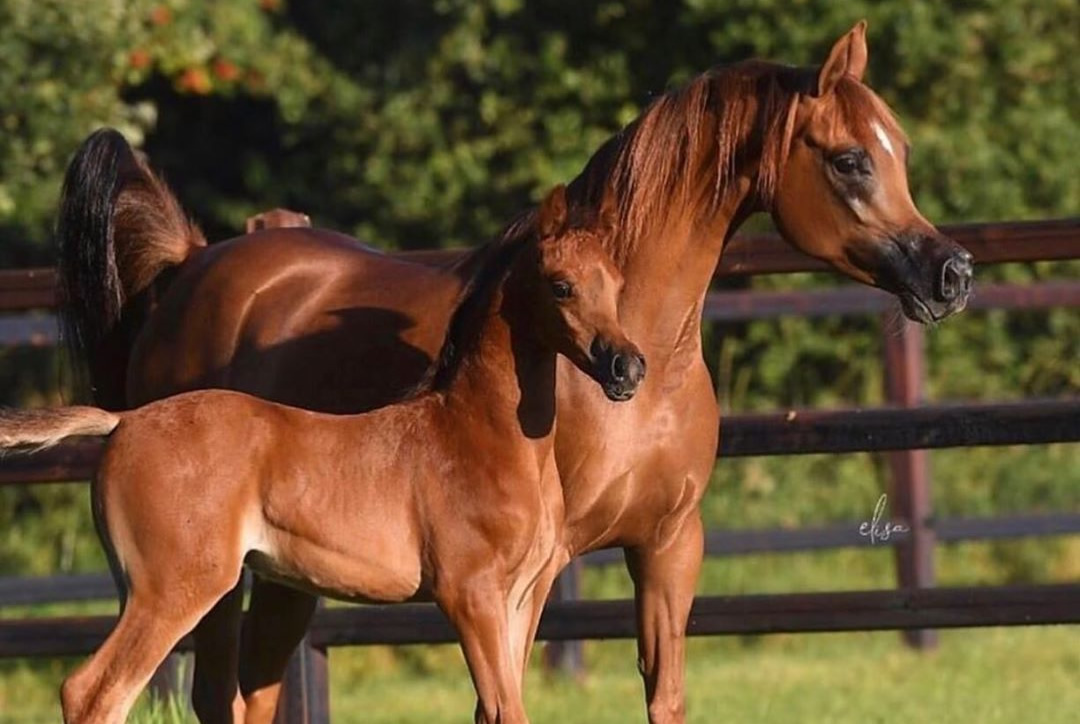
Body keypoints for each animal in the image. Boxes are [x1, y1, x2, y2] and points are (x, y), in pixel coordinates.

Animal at [0, 189, 639, 724]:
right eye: (561, 285)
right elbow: (507, 710)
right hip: (171, 588)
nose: (627, 367)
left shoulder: (522, 598)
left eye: (616, 282)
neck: (478, 434)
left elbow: (495, 709)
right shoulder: (469, 594)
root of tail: (125, 419)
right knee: (94, 692)